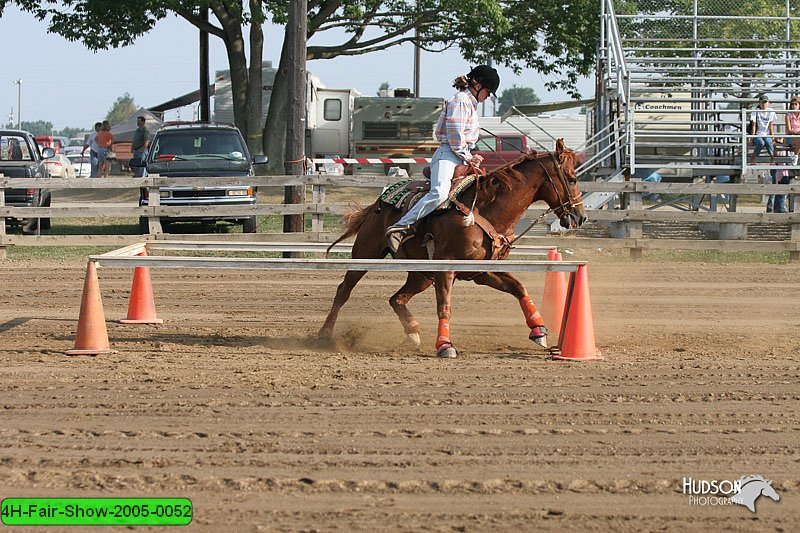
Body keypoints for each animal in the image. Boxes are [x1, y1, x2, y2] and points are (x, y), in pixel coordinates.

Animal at [318, 138, 588, 358]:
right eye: (572, 179)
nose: (580, 217)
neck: (485, 209)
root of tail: (380, 199)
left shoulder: (483, 271)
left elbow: (519, 287)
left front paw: (539, 330)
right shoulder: (446, 268)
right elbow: (444, 307)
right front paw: (445, 345)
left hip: (421, 275)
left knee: (396, 299)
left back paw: (412, 332)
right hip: (366, 253)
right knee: (344, 290)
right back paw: (324, 334)